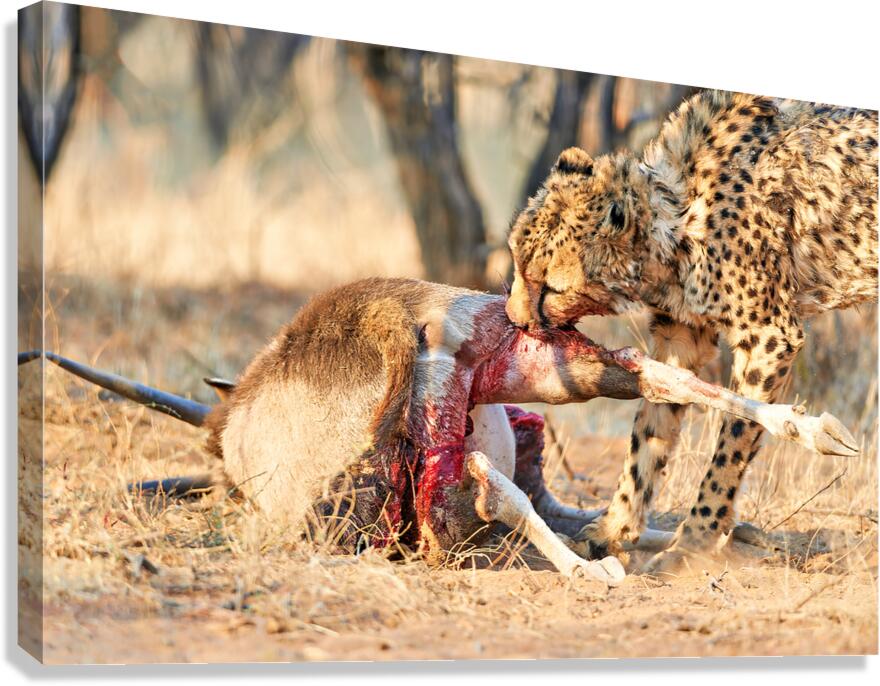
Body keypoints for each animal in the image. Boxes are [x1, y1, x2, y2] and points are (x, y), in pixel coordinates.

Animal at [505, 89, 878, 574]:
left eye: (552, 287)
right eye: (516, 259)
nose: (514, 319)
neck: (677, 211)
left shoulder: (769, 336)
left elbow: (730, 445)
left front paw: (693, 543)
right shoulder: (682, 336)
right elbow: (649, 431)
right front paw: (615, 529)